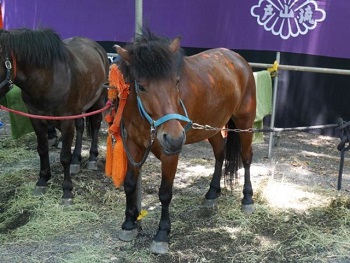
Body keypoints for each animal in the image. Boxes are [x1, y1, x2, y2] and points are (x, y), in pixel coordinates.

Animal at [0, 28, 108, 205]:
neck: (48, 80)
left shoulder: (66, 121)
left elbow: (64, 156)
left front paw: (67, 191)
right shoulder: (36, 119)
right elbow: (42, 149)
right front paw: (42, 181)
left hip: (99, 100)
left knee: (96, 126)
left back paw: (92, 158)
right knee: (80, 127)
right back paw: (76, 159)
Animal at [115, 29, 258, 255]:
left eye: (176, 81)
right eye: (141, 86)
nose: (174, 137)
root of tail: (237, 59)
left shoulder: (170, 154)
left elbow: (165, 193)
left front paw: (162, 233)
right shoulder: (133, 147)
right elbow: (129, 184)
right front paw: (129, 224)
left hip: (245, 123)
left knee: (246, 158)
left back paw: (247, 198)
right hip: (213, 127)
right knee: (220, 153)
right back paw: (212, 193)